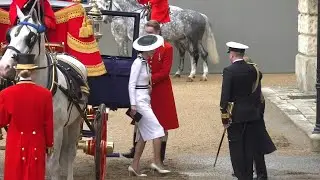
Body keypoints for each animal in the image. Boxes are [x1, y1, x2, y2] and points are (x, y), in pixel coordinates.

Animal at [0, 1, 88, 180]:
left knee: (69, 154)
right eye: (9, 35)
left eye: (30, 38)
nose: (4, 67)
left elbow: (53, 165)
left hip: (75, 122)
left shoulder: (56, 130)